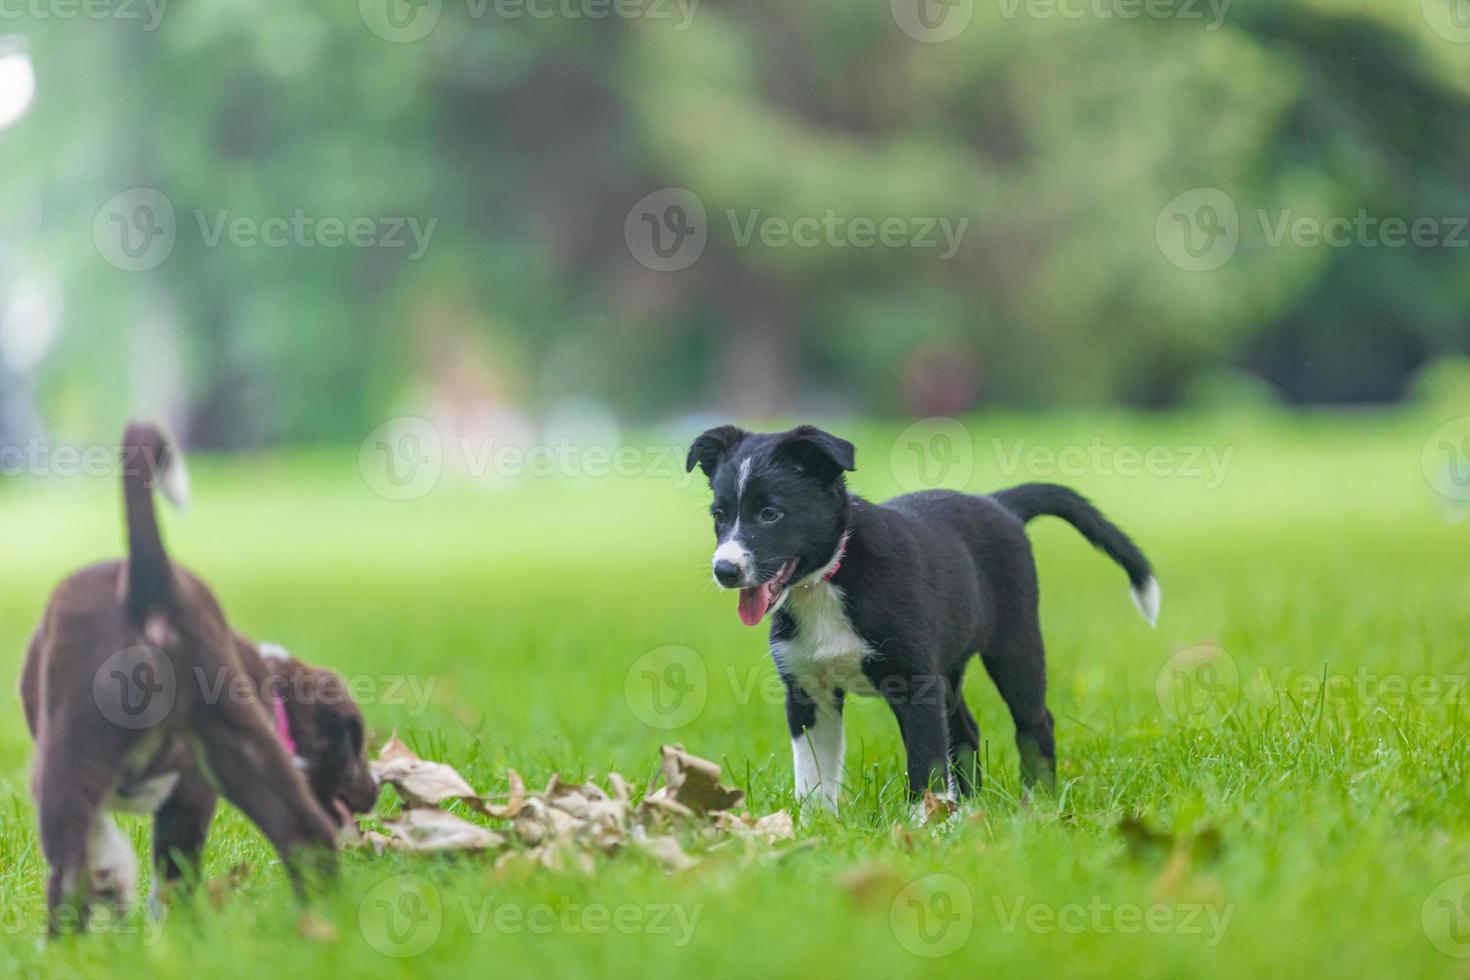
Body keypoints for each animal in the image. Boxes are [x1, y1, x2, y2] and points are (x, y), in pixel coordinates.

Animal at [21, 423, 379, 928]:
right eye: (355, 744)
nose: (376, 790)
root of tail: (149, 588)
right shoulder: (202, 780)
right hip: (231, 743)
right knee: (303, 832)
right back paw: (326, 918)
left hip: (80, 740)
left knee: (69, 865)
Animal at [687, 426, 1158, 816]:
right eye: (719, 516)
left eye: (771, 514)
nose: (724, 570)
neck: (829, 580)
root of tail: (1000, 503)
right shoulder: (807, 691)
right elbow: (813, 773)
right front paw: (811, 828)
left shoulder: (915, 685)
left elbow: (926, 764)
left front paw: (926, 829)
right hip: (949, 667)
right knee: (966, 730)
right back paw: (970, 806)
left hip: (1015, 644)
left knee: (1035, 721)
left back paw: (1037, 801)